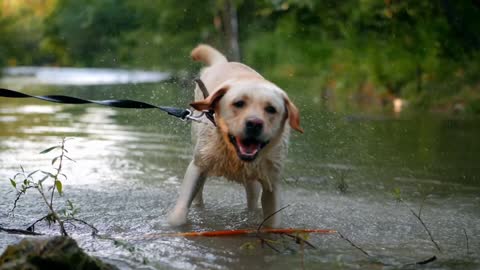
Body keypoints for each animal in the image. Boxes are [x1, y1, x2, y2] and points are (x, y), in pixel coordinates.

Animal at [169, 44, 302, 228]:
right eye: (239, 103)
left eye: (271, 109)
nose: (254, 123)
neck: (234, 153)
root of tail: (223, 62)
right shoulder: (197, 167)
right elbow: (178, 215)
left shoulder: (271, 182)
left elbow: (273, 222)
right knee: (198, 196)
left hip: (252, 182)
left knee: (252, 200)